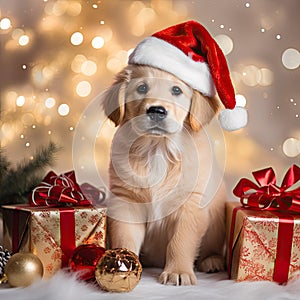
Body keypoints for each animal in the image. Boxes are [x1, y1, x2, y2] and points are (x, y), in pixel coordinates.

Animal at [103, 64, 225, 284]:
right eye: (142, 88)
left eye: (176, 90)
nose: (157, 110)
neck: (156, 149)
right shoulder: (126, 202)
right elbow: (125, 237)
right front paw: (123, 266)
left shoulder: (190, 205)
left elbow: (181, 242)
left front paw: (178, 271)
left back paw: (212, 261)